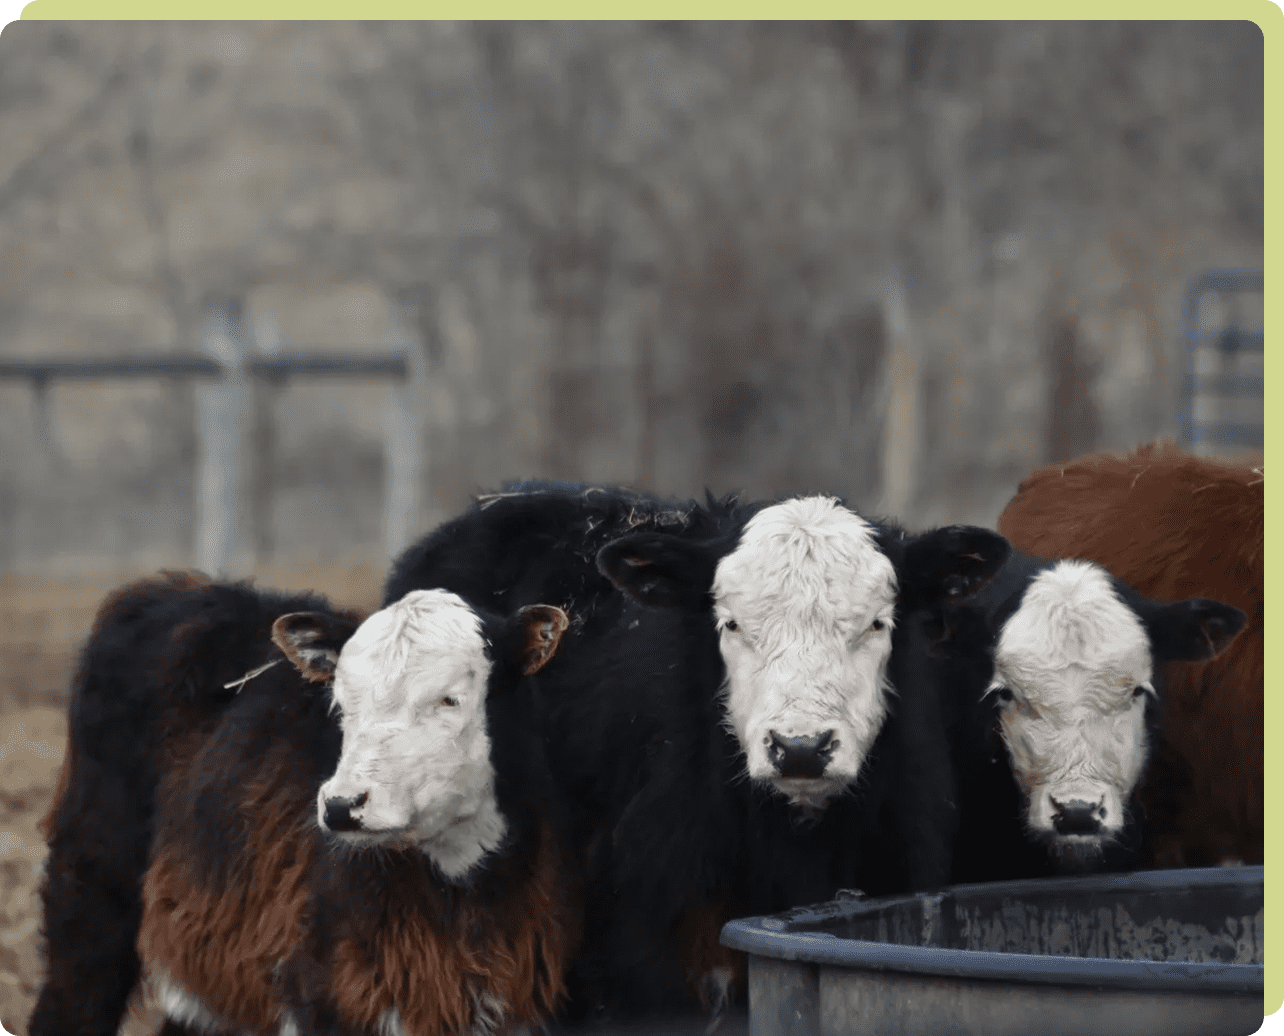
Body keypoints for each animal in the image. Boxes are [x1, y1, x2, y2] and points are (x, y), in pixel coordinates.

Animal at [30, 573, 578, 1036]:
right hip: (92, 892)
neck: (459, 892)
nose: (341, 806)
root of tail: (171, 588)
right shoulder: (331, 1000)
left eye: (450, 699)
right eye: (342, 702)